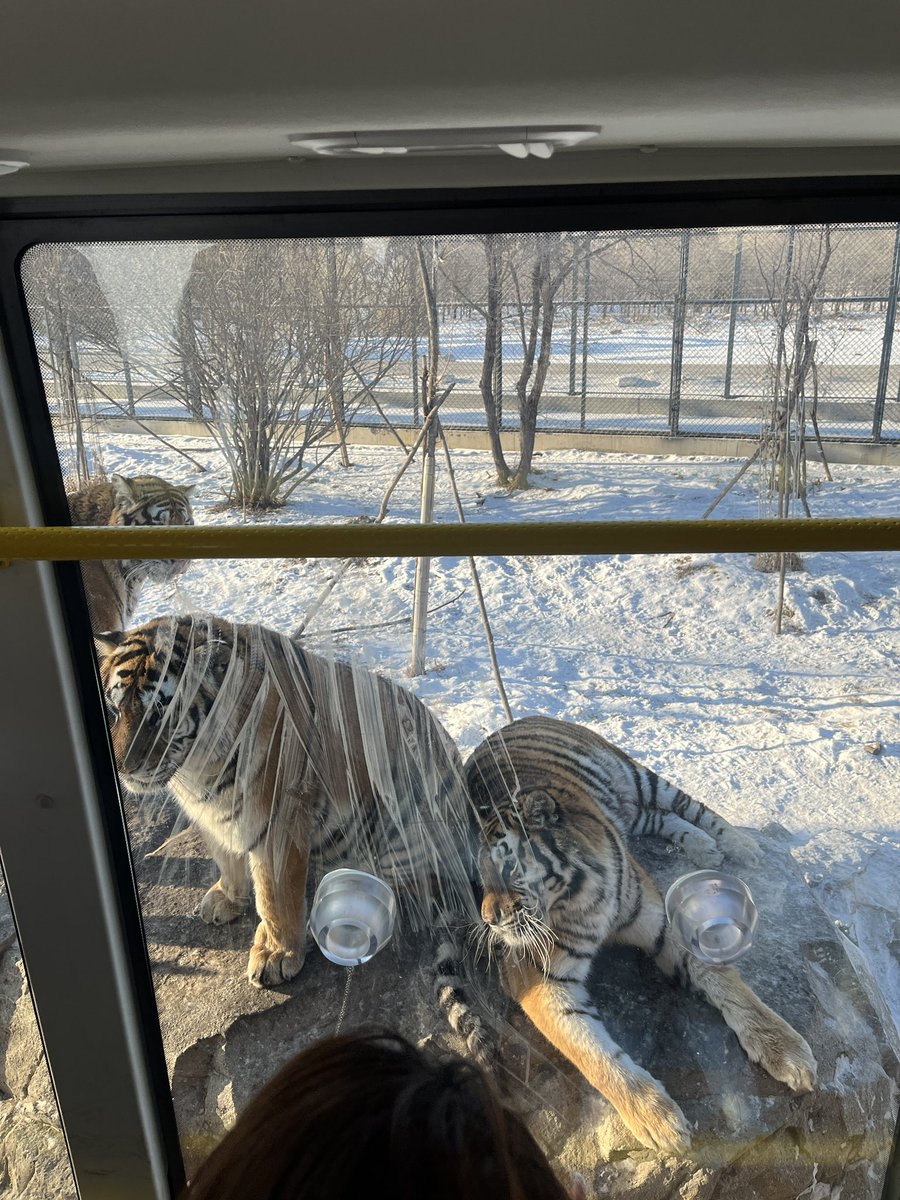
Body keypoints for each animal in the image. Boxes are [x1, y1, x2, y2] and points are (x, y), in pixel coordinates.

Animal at [94, 612, 489, 1063]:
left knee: (414, 893)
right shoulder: (211, 815)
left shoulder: (278, 818)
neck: (196, 767)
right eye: (115, 706)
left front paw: (276, 953)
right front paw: (226, 899)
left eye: (162, 709)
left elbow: (274, 893)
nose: (122, 767)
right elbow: (226, 857)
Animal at [465, 716, 818, 1154]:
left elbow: (724, 981)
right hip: (629, 808)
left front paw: (786, 1050)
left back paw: (738, 845)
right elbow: (592, 1052)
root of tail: (515, 720)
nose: (489, 921)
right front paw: (658, 1121)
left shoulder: (661, 922)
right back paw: (704, 848)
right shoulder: (538, 977)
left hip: (637, 775)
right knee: (657, 817)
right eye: (480, 875)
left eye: (509, 866)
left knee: (690, 807)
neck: (580, 897)